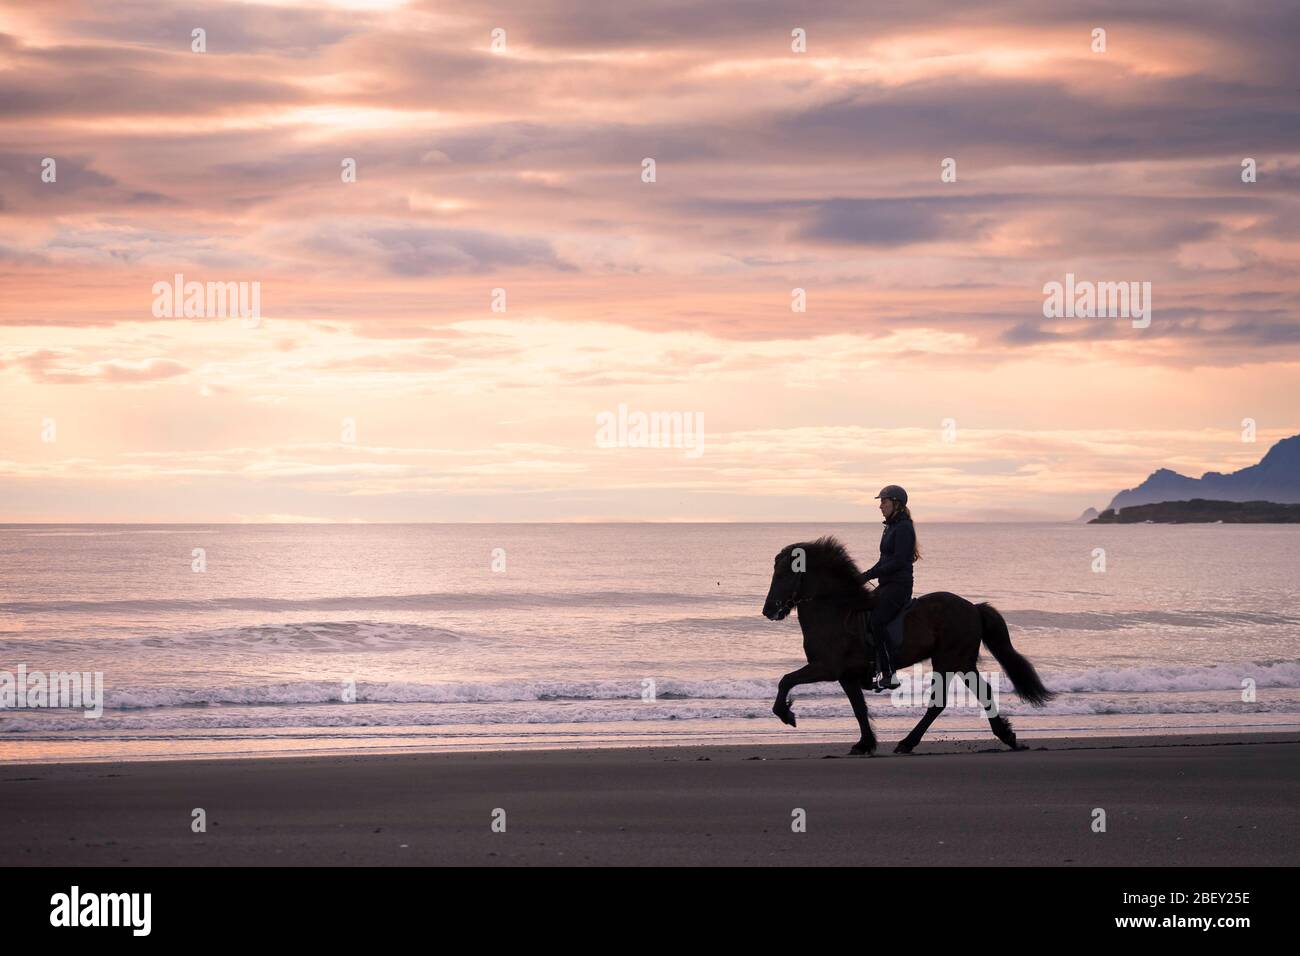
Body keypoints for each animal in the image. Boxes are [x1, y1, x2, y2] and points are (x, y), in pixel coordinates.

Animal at [759, 538, 1055, 754]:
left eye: (783, 575)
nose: (768, 610)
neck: (835, 611)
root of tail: (973, 607)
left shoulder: (826, 668)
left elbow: (786, 680)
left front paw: (786, 714)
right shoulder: (846, 675)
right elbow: (859, 708)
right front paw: (864, 744)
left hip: (948, 661)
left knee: (938, 702)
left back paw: (907, 743)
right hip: (963, 662)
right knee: (983, 693)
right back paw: (1007, 736)